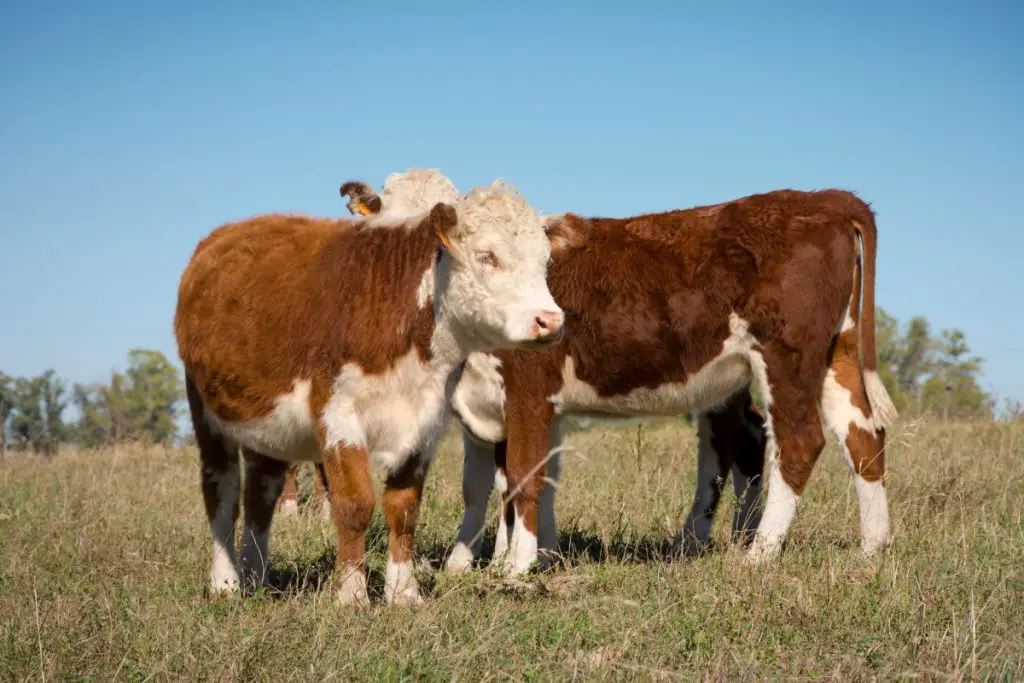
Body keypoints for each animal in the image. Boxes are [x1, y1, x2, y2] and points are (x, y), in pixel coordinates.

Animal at [174, 167, 569, 606]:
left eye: (545, 261)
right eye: (488, 256)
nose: (550, 321)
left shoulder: (427, 421)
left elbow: (404, 506)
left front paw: (404, 593)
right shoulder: (338, 414)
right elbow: (354, 504)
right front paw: (352, 595)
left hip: (267, 425)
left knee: (261, 494)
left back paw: (256, 577)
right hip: (207, 413)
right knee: (222, 492)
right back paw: (225, 583)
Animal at [342, 172, 897, 577]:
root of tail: (825, 198)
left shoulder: (527, 389)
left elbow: (522, 475)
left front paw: (515, 568)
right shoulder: (487, 405)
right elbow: (492, 483)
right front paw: (492, 561)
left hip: (786, 355)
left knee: (797, 442)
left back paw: (758, 554)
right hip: (836, 352)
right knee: (858, 437)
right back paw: (871, 548)